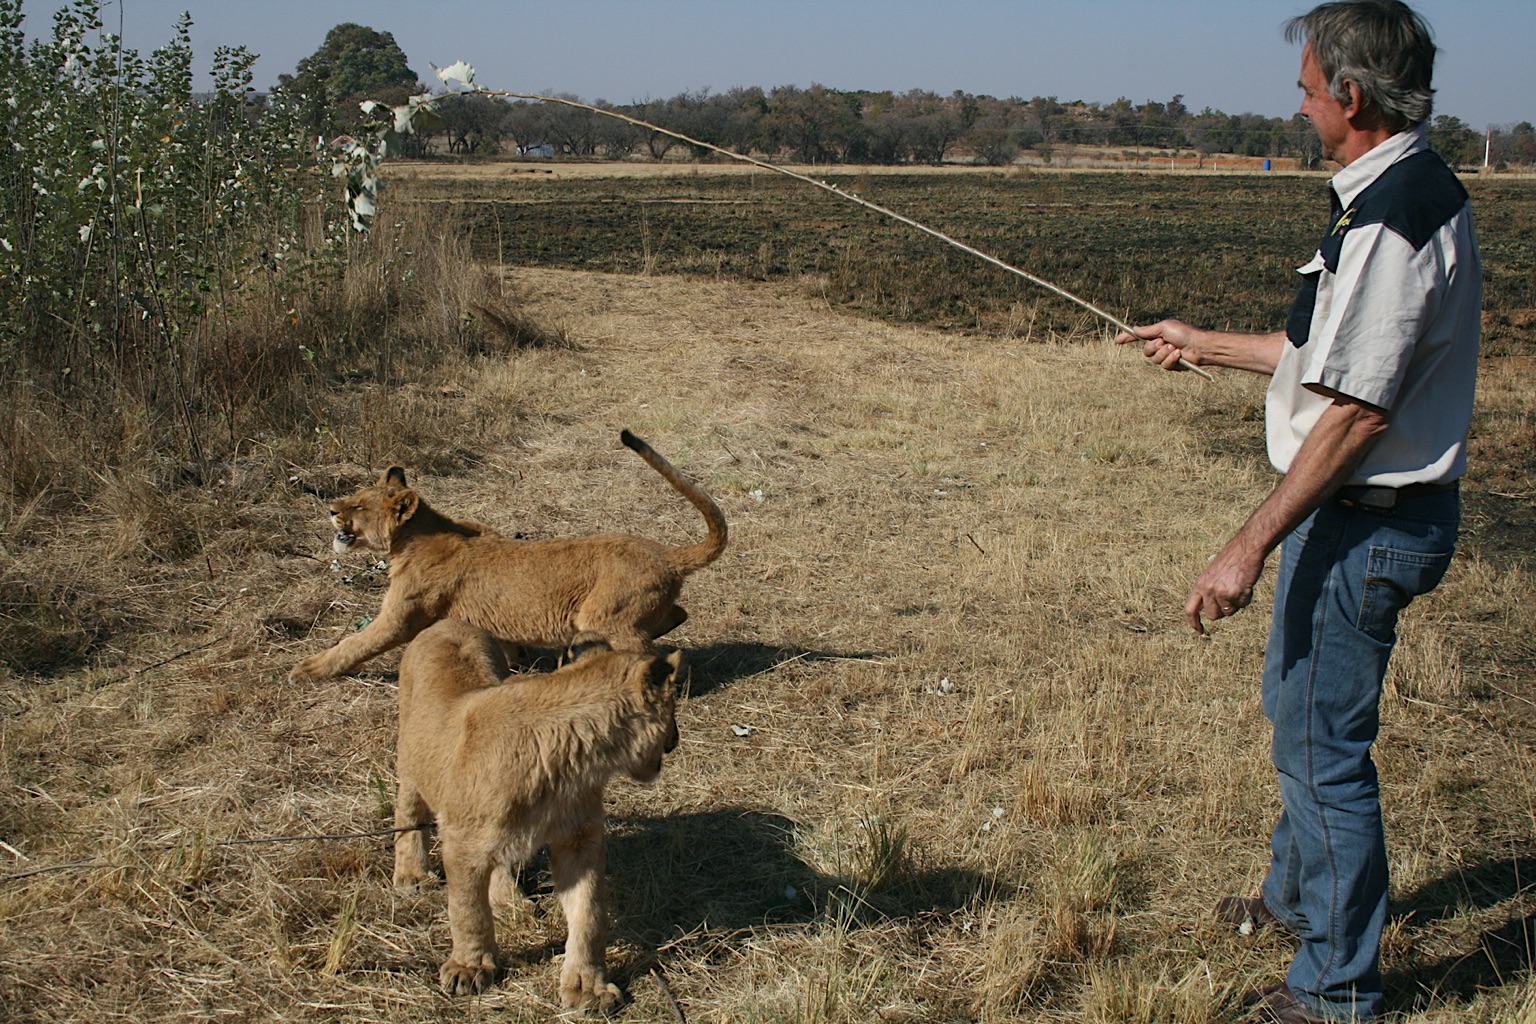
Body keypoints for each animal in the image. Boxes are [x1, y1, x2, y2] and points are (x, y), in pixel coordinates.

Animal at [289, 430, 726, 682]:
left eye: (360, 506)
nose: (331, 509)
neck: (411, 536)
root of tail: (668, 554)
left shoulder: (400, 617)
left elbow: (355, 643)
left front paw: (306, 669)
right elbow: (505, 648)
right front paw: (513, 667)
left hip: (603, 616)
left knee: (653, 655)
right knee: (677, 615)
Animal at [391, 618, 681, 1009]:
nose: (675, 740)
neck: (570, 764)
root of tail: (447, 622)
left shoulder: (579, 840)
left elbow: (589, 914)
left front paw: (587, 987)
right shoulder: (461, 842)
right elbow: (467, 910)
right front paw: (470, 967)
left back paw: (508, 900)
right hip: (410, 758)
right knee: (408, 812)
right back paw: (412, 875)